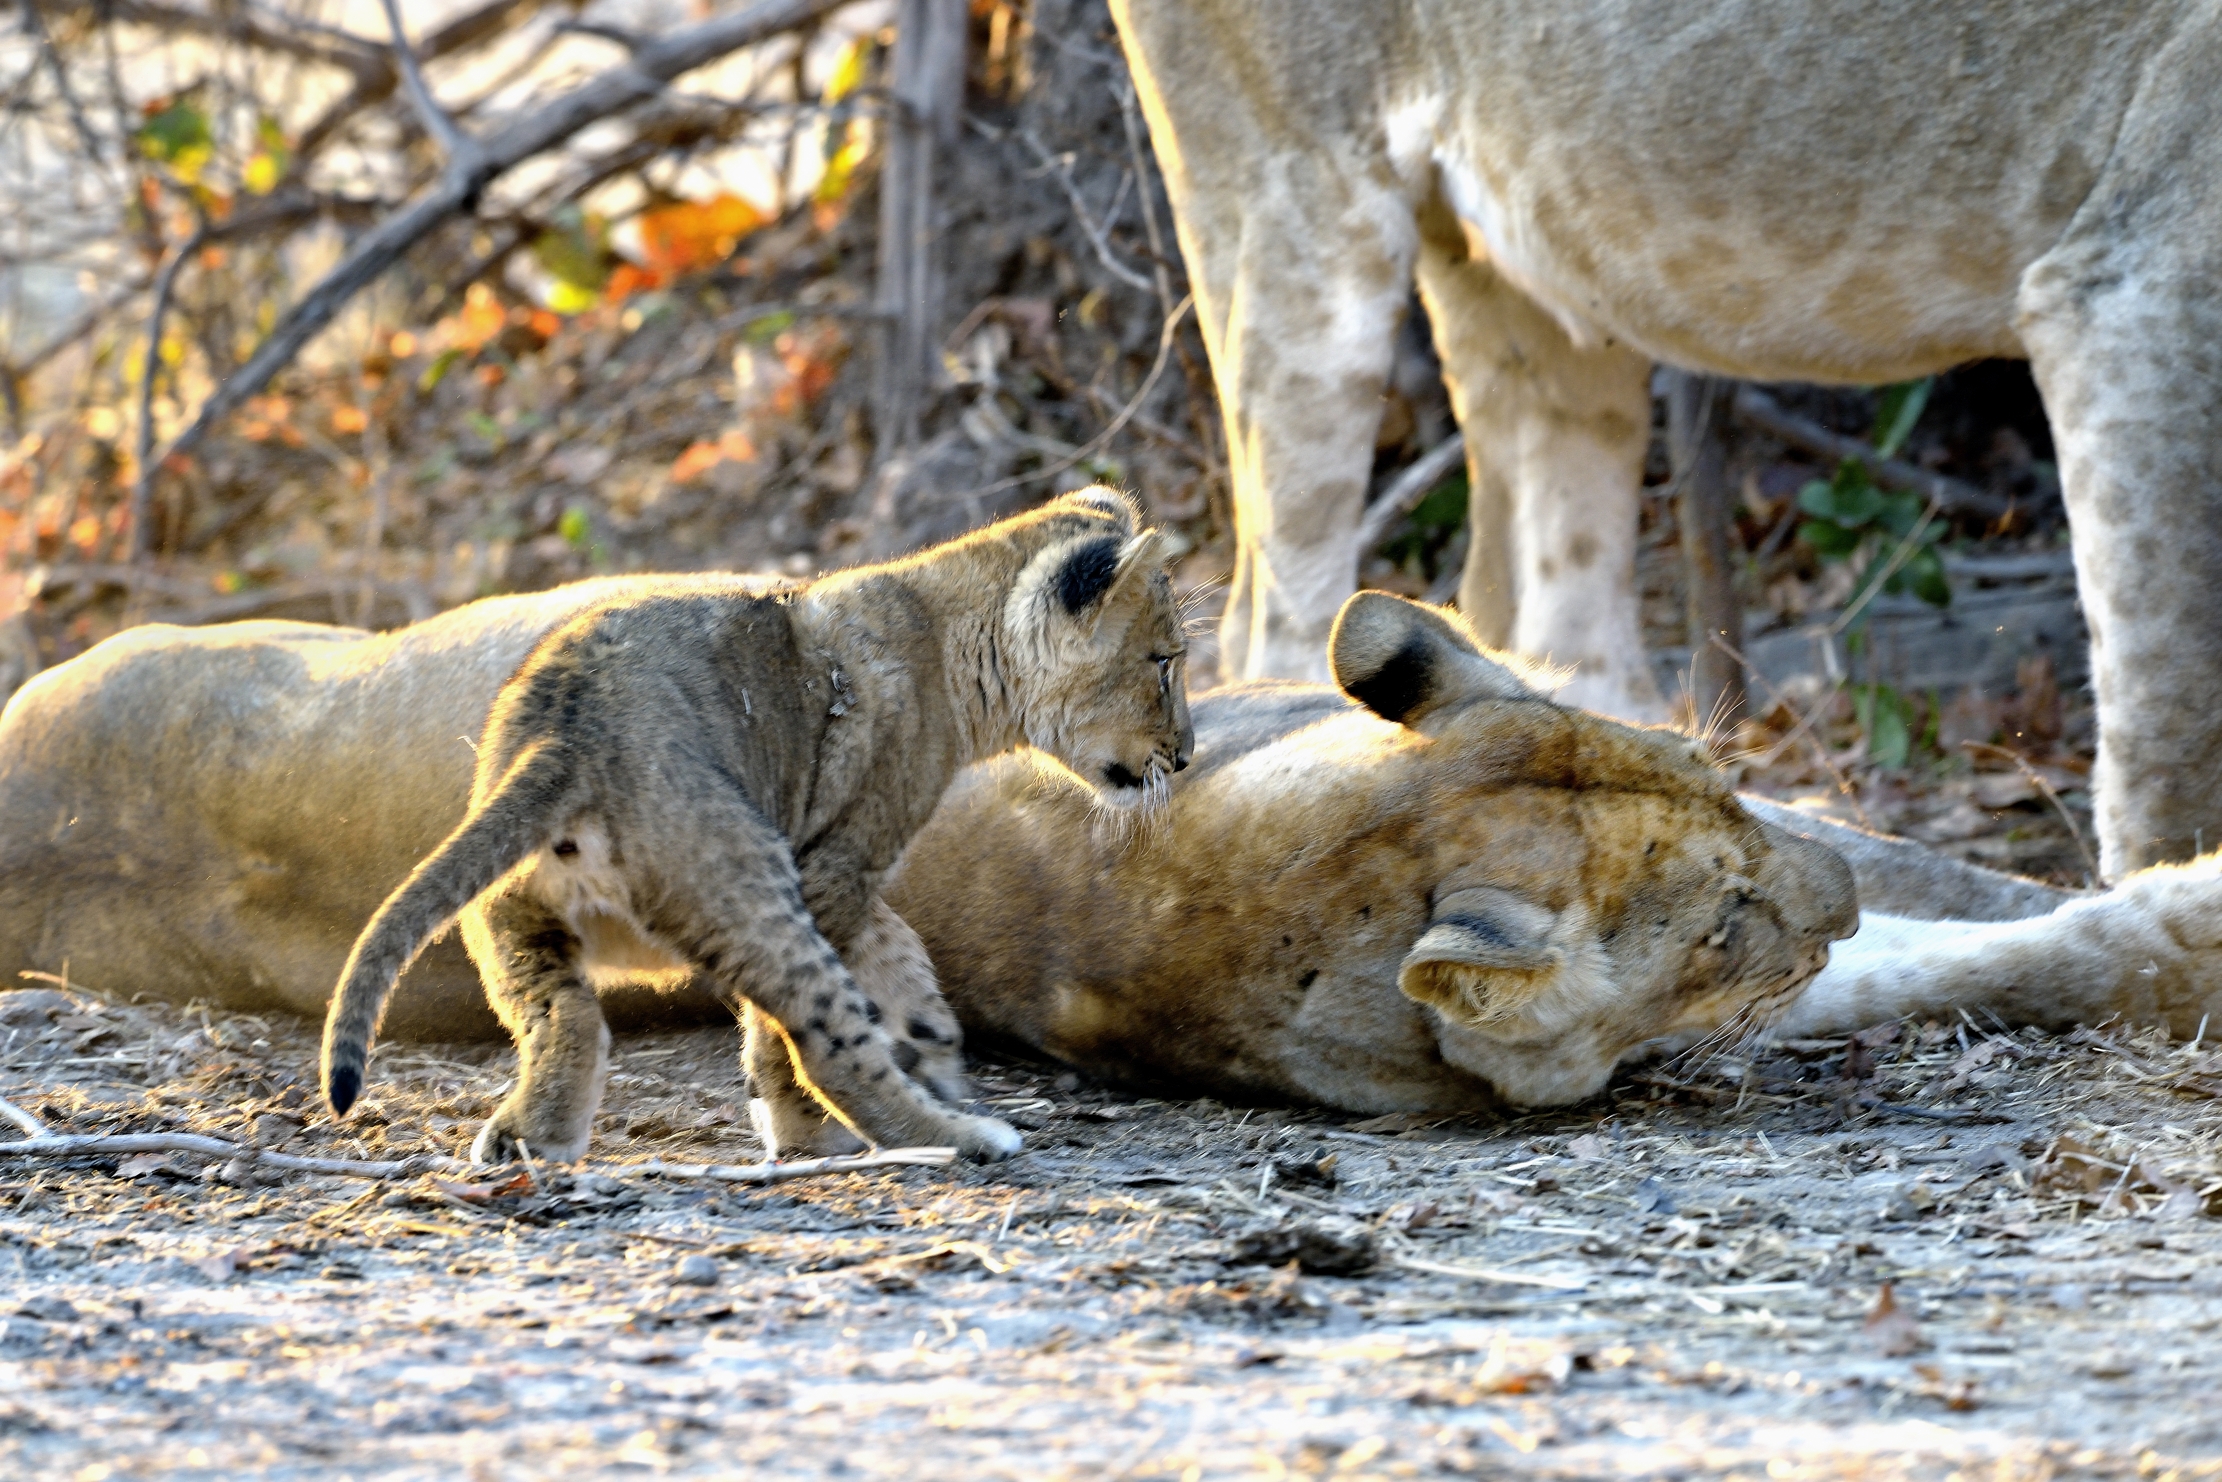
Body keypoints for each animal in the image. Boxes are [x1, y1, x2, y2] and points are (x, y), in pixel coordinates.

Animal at [1112, 0, 2222, 876]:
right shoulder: (2135, 291)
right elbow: (2173, 705)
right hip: (1294, 204)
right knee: (1273, 622)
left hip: (1529, 276)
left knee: (1546, 634)